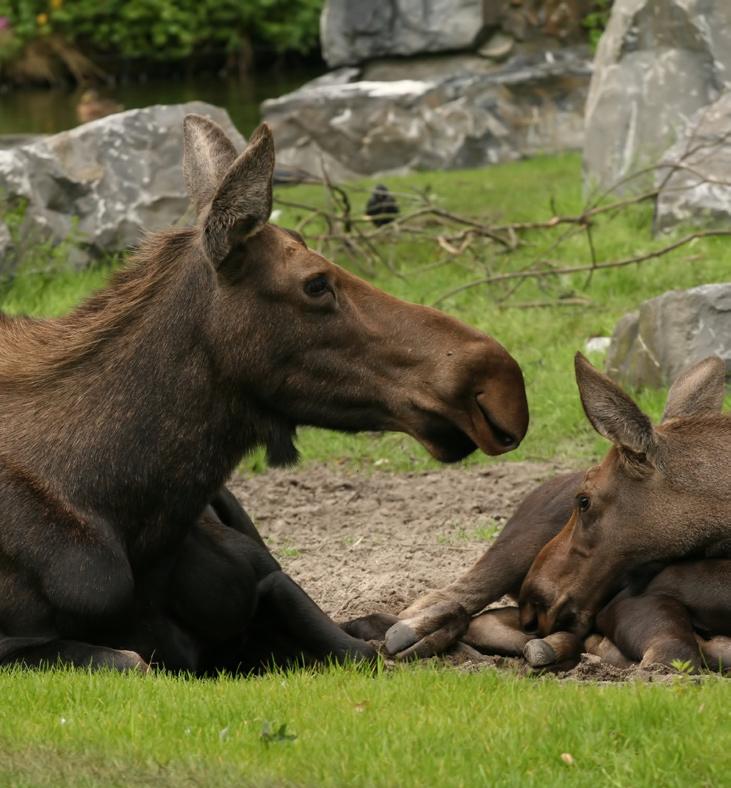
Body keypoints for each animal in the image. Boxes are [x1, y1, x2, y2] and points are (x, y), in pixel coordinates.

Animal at [0, 117, 528, 672]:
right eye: (316, 284)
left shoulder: (268, 583)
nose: (499, 381)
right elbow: (134, 658)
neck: (134, 518)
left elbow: (358, 644)